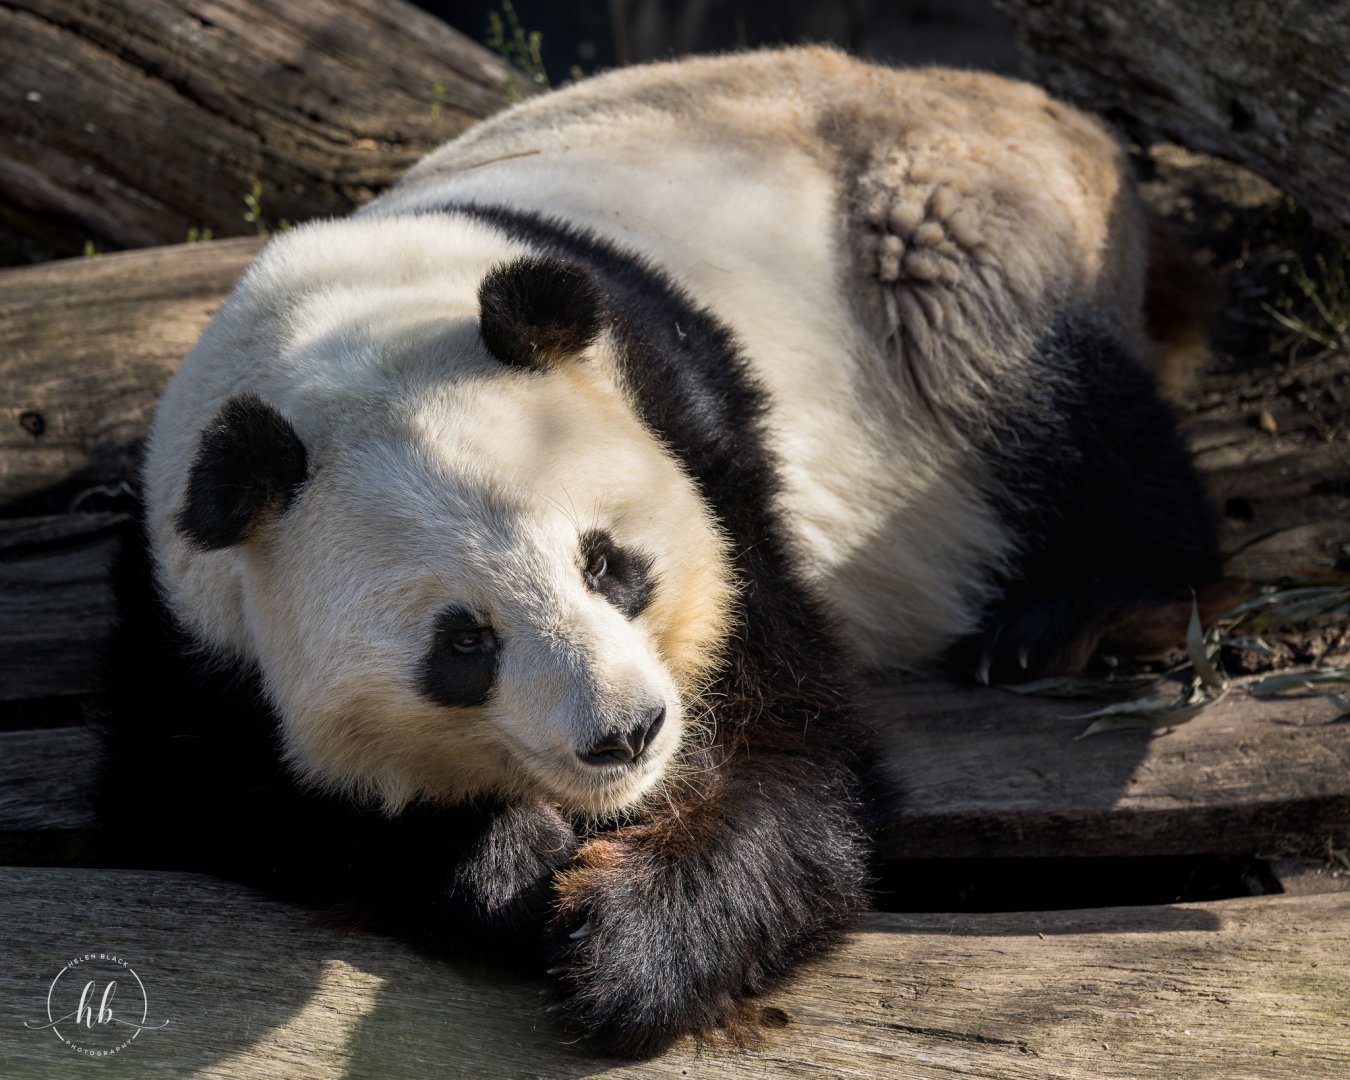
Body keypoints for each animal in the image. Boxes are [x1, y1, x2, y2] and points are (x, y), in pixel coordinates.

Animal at [99, 47, 1223, 1057]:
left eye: (607, 562)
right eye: (463, 643)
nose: (628, 736)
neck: (343, 324)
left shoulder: (697, 434)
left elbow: (796, 749)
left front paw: (637, 948)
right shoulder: (188, 629)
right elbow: (233, 800)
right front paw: (513, 874)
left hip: (943, 234)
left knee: (1051, 404)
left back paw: (1068, 613)